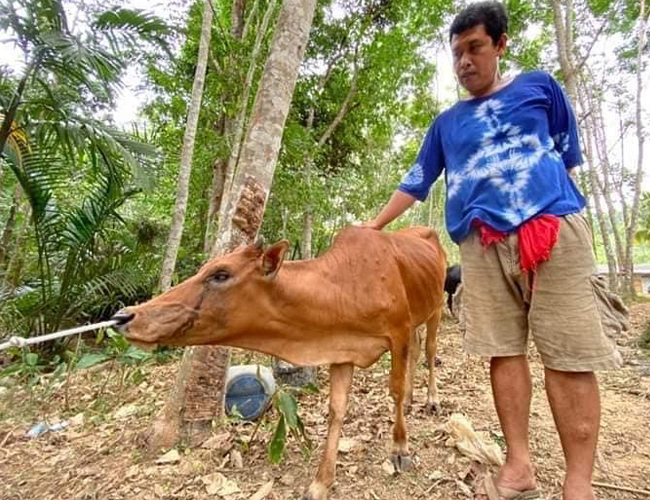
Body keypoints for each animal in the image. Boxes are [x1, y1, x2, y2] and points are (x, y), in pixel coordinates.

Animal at [111, 227, 446, 500]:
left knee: (429, 351)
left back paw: (430, 399)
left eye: (220, 274)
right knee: (417, 351)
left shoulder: (398, 332)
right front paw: (321, 483)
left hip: (436, 309)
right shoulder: (342, 350)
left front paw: (400, 449)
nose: (124, 316)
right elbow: (336, 411)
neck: (342, 287)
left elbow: (394, 391)